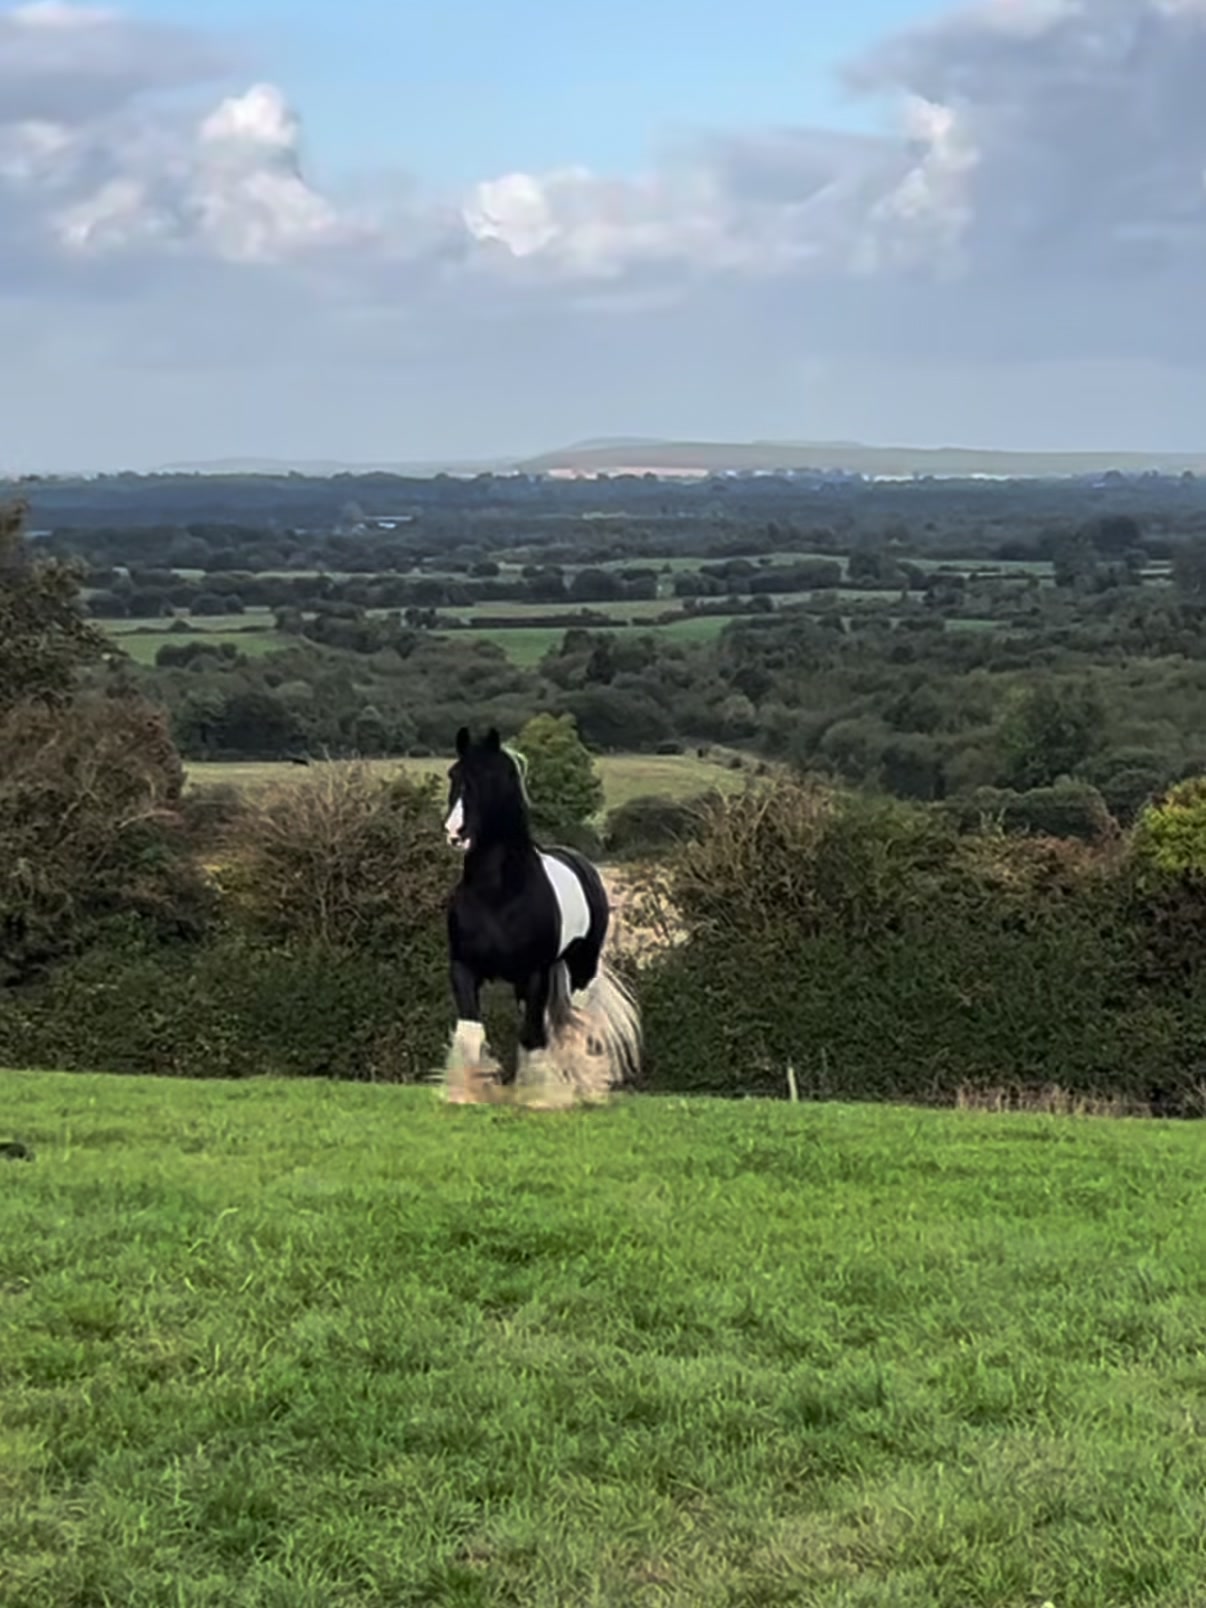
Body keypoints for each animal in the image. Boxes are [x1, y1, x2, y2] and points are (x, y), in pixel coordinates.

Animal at [442, 725, 641, 1108]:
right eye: (454, 775)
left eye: (488, 777)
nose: (455, 833)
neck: (498, 893)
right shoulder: (463, 968)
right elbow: (472, 1032)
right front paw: (466, 1093)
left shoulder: (535, 973)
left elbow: (533, 1037)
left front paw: (538, 1097)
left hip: (579, 972)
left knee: (574, 1027)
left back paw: (582, 1089)